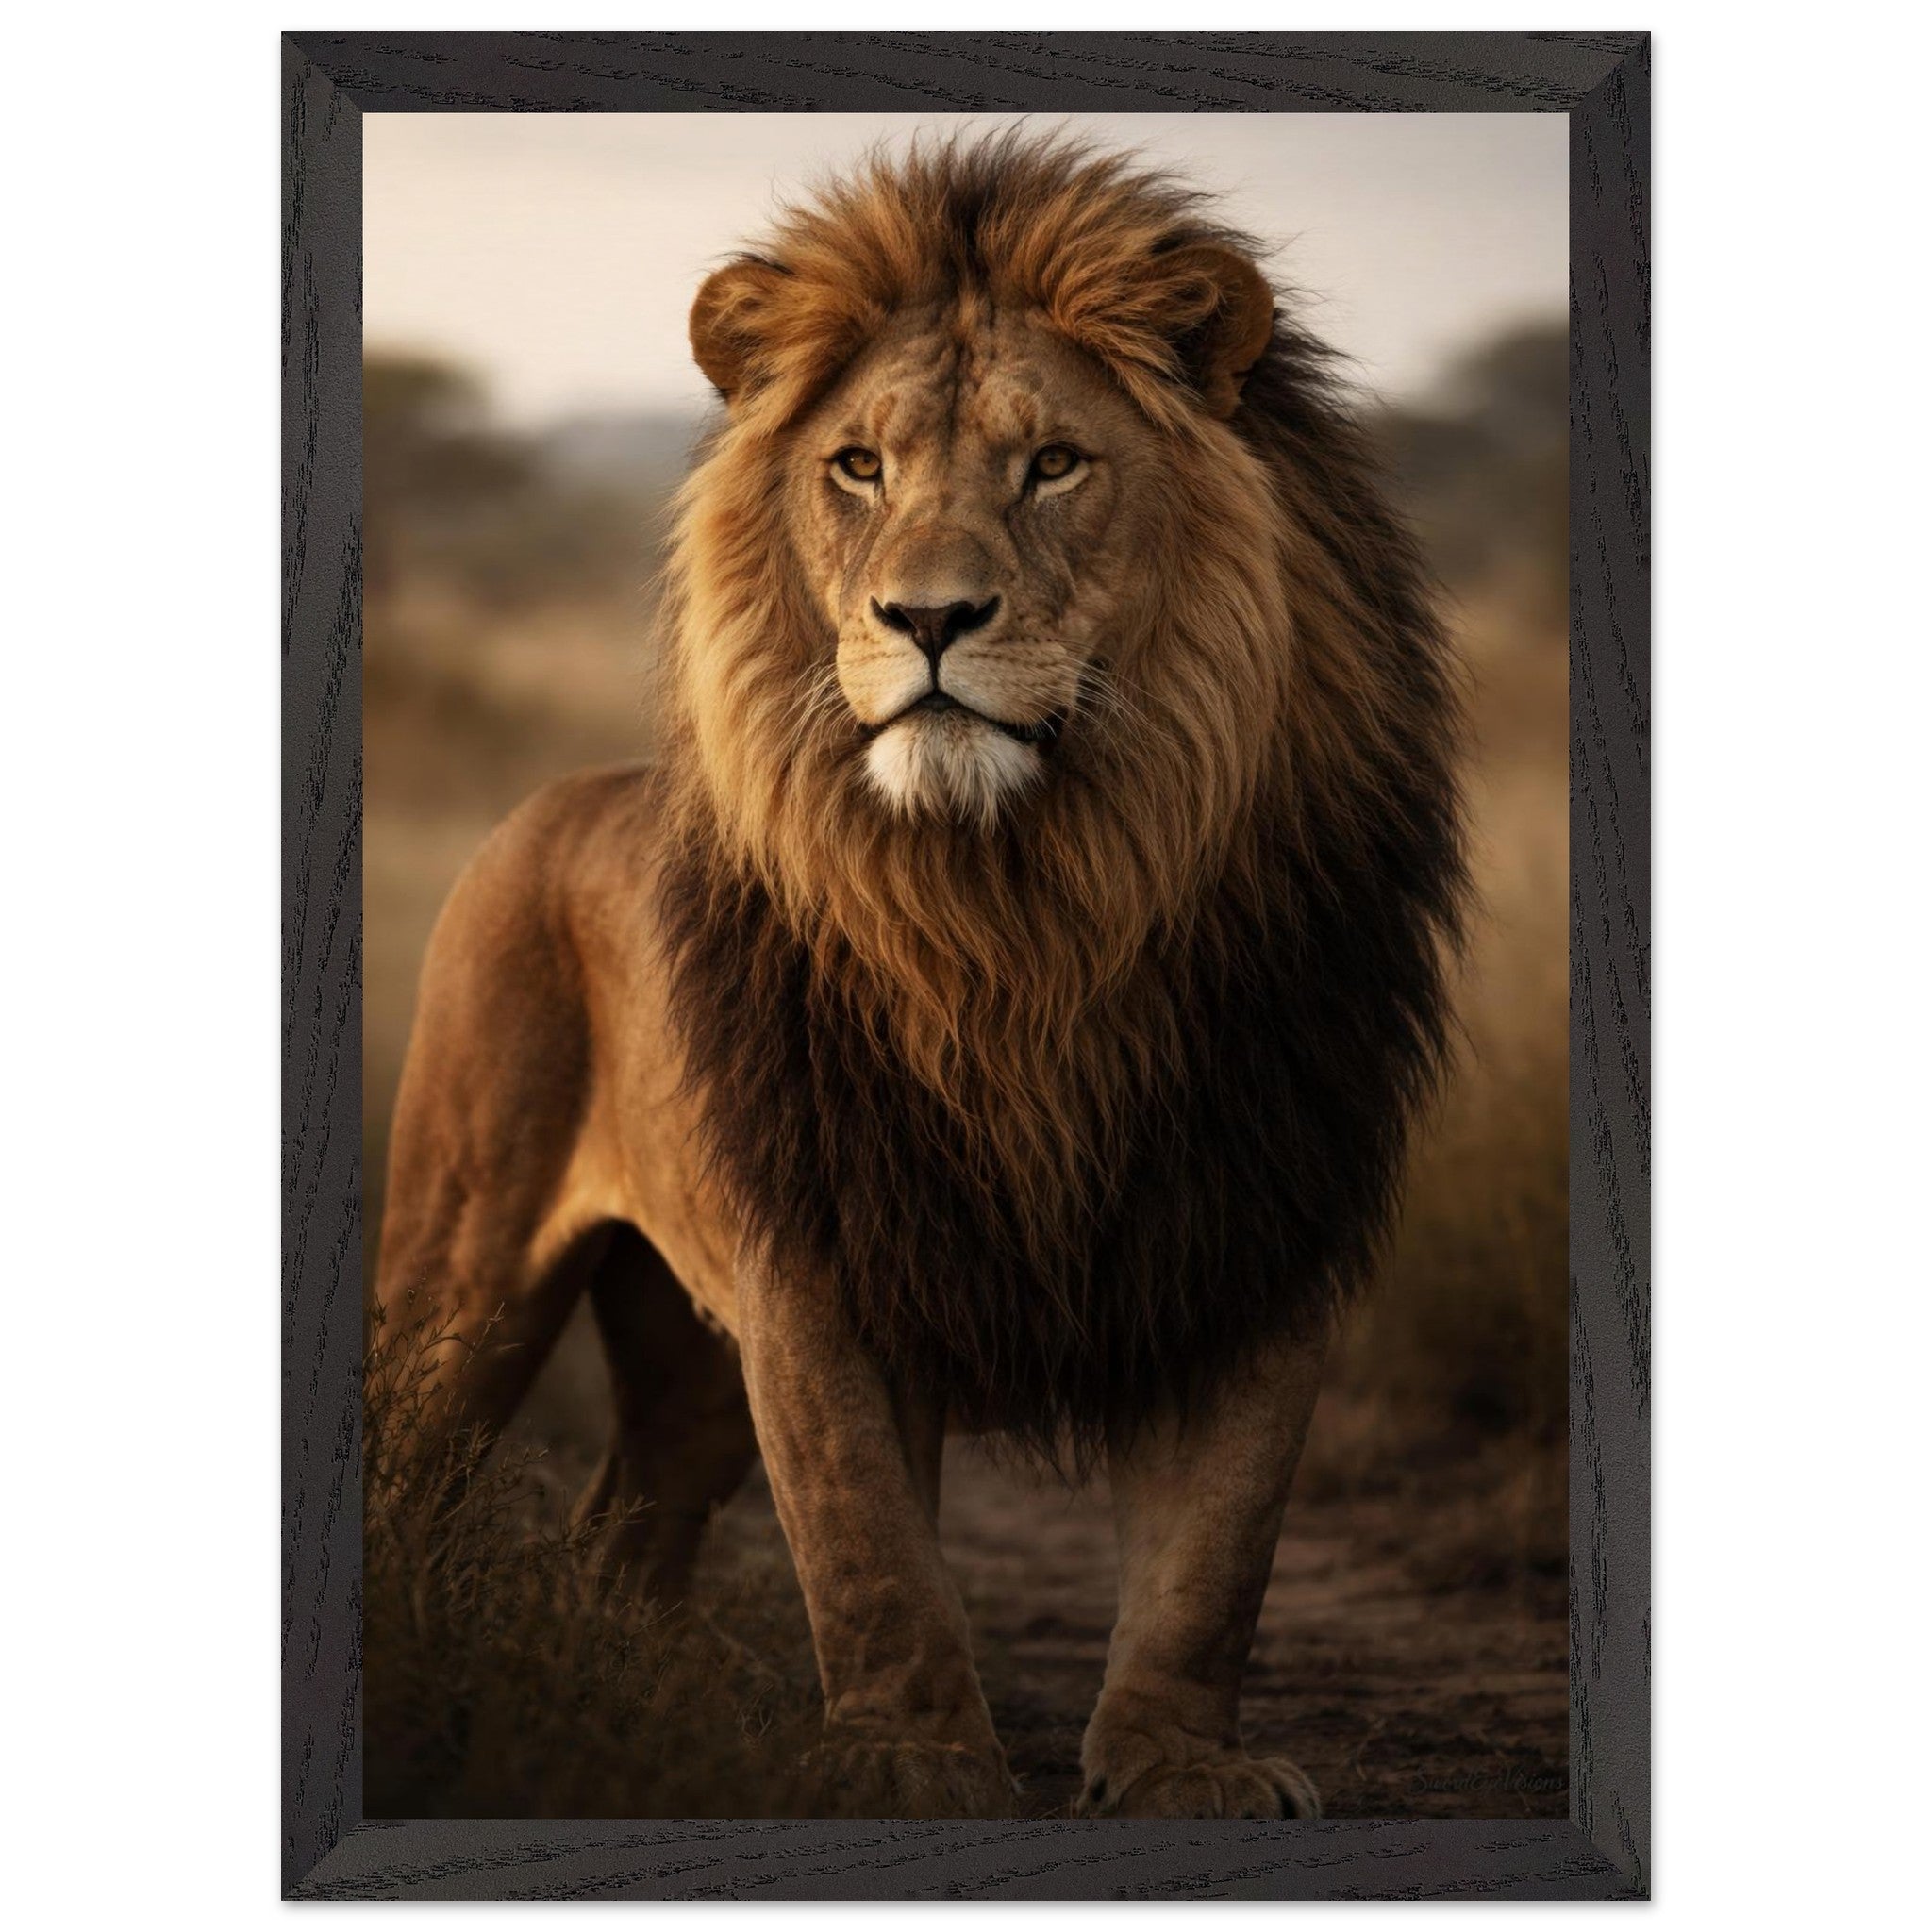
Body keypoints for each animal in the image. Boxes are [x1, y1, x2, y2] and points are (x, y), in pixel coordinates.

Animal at [375, 133, 1467, 1820]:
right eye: (860, 469)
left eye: (1055, 465)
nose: (930, 617)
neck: (1020, 912)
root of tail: (551, 803)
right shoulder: (819, 1250)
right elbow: (865, 1544)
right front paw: (905, 1760)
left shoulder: (1260, 1223)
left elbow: (1216, 1551)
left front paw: (1179, 1765)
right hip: (463, 1268)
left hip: (684, 1352)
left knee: (626, 1526)